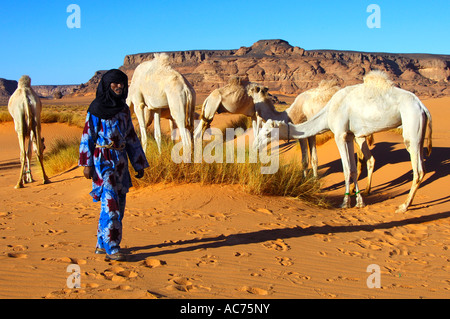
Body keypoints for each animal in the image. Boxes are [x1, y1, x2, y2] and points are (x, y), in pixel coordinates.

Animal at [255, 71, 430, 214]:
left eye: (268, 133)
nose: (256, 145)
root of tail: (422, 106)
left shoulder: (339, 134)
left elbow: (345, 168)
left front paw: (345, 202)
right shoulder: (349, 135)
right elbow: (352, 167)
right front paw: (359, 201)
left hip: (411, 126)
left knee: (418, 170)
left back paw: (403, 206)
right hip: (419, 134)